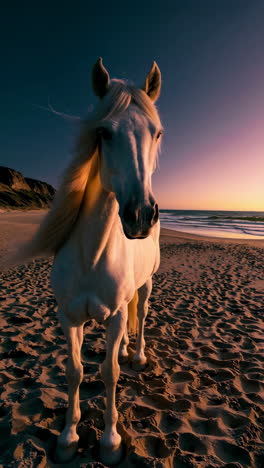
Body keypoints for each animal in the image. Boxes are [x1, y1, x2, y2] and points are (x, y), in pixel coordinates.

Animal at [22, 58, 162, 464]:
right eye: (103, 132)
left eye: (157, 133)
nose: (141, 216)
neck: (92, 253)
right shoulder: (69, 316)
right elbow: (75, 371)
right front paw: (69, 437)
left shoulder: (113, 316)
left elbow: (110, 372)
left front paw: (111, 441)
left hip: (147, 284)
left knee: (140, 315)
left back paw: (138, 355)